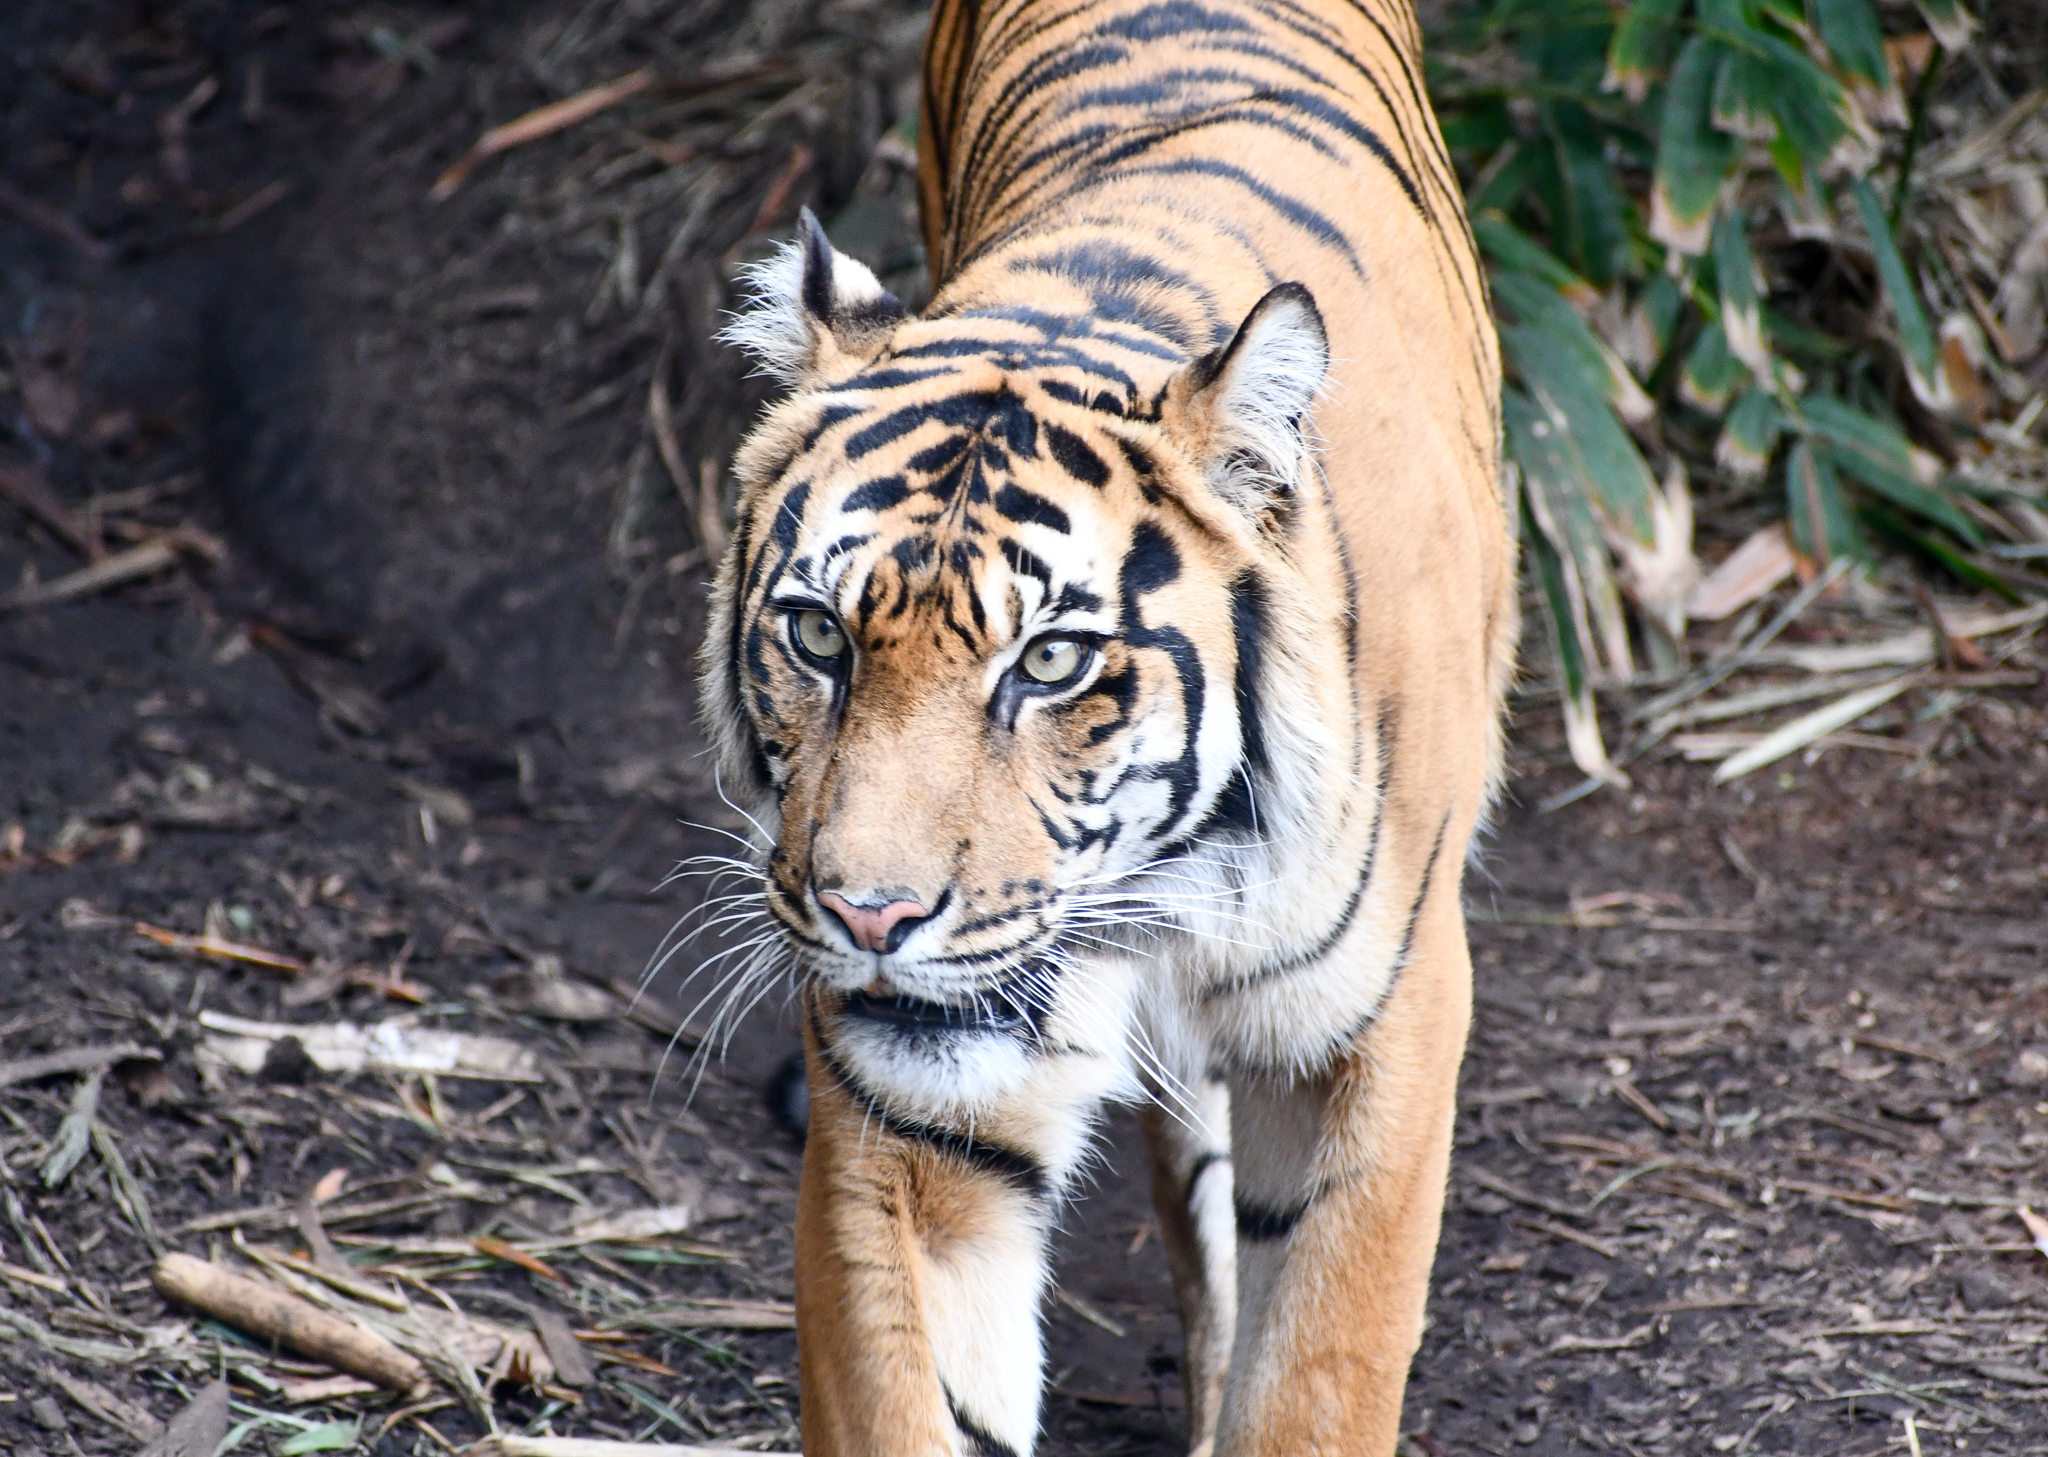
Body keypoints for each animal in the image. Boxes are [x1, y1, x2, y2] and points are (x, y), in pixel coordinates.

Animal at [700, 0, 1512, 1449]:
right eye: (819, 636)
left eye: (1051, 661)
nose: (868, 916)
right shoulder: (910, 1107)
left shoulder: (1388, 1027)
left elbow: (1319, 1372)